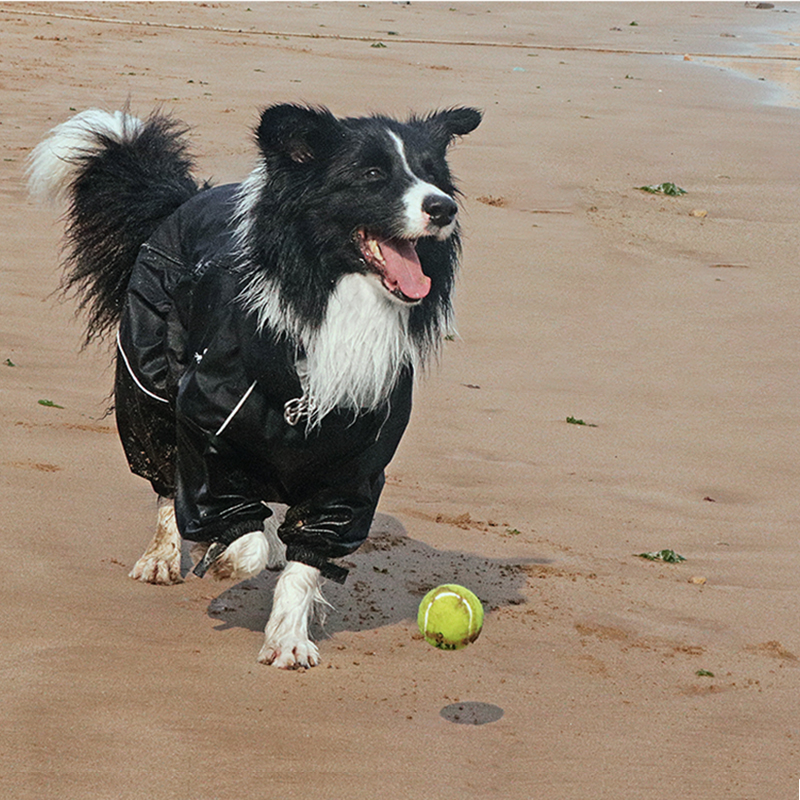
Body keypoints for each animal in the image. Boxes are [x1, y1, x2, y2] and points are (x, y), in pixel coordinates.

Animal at [28, 103, 482, 664]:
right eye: (373, 174)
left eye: (433, 175)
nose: (443, 208)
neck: (331, 296)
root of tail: (186, 198)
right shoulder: (206, 421)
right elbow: (234, 529)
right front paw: (224, 554)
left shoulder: (353, 467)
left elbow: (307, 555)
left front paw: (288, 639)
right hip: (147, 381)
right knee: (164, 473)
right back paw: (164, 556)